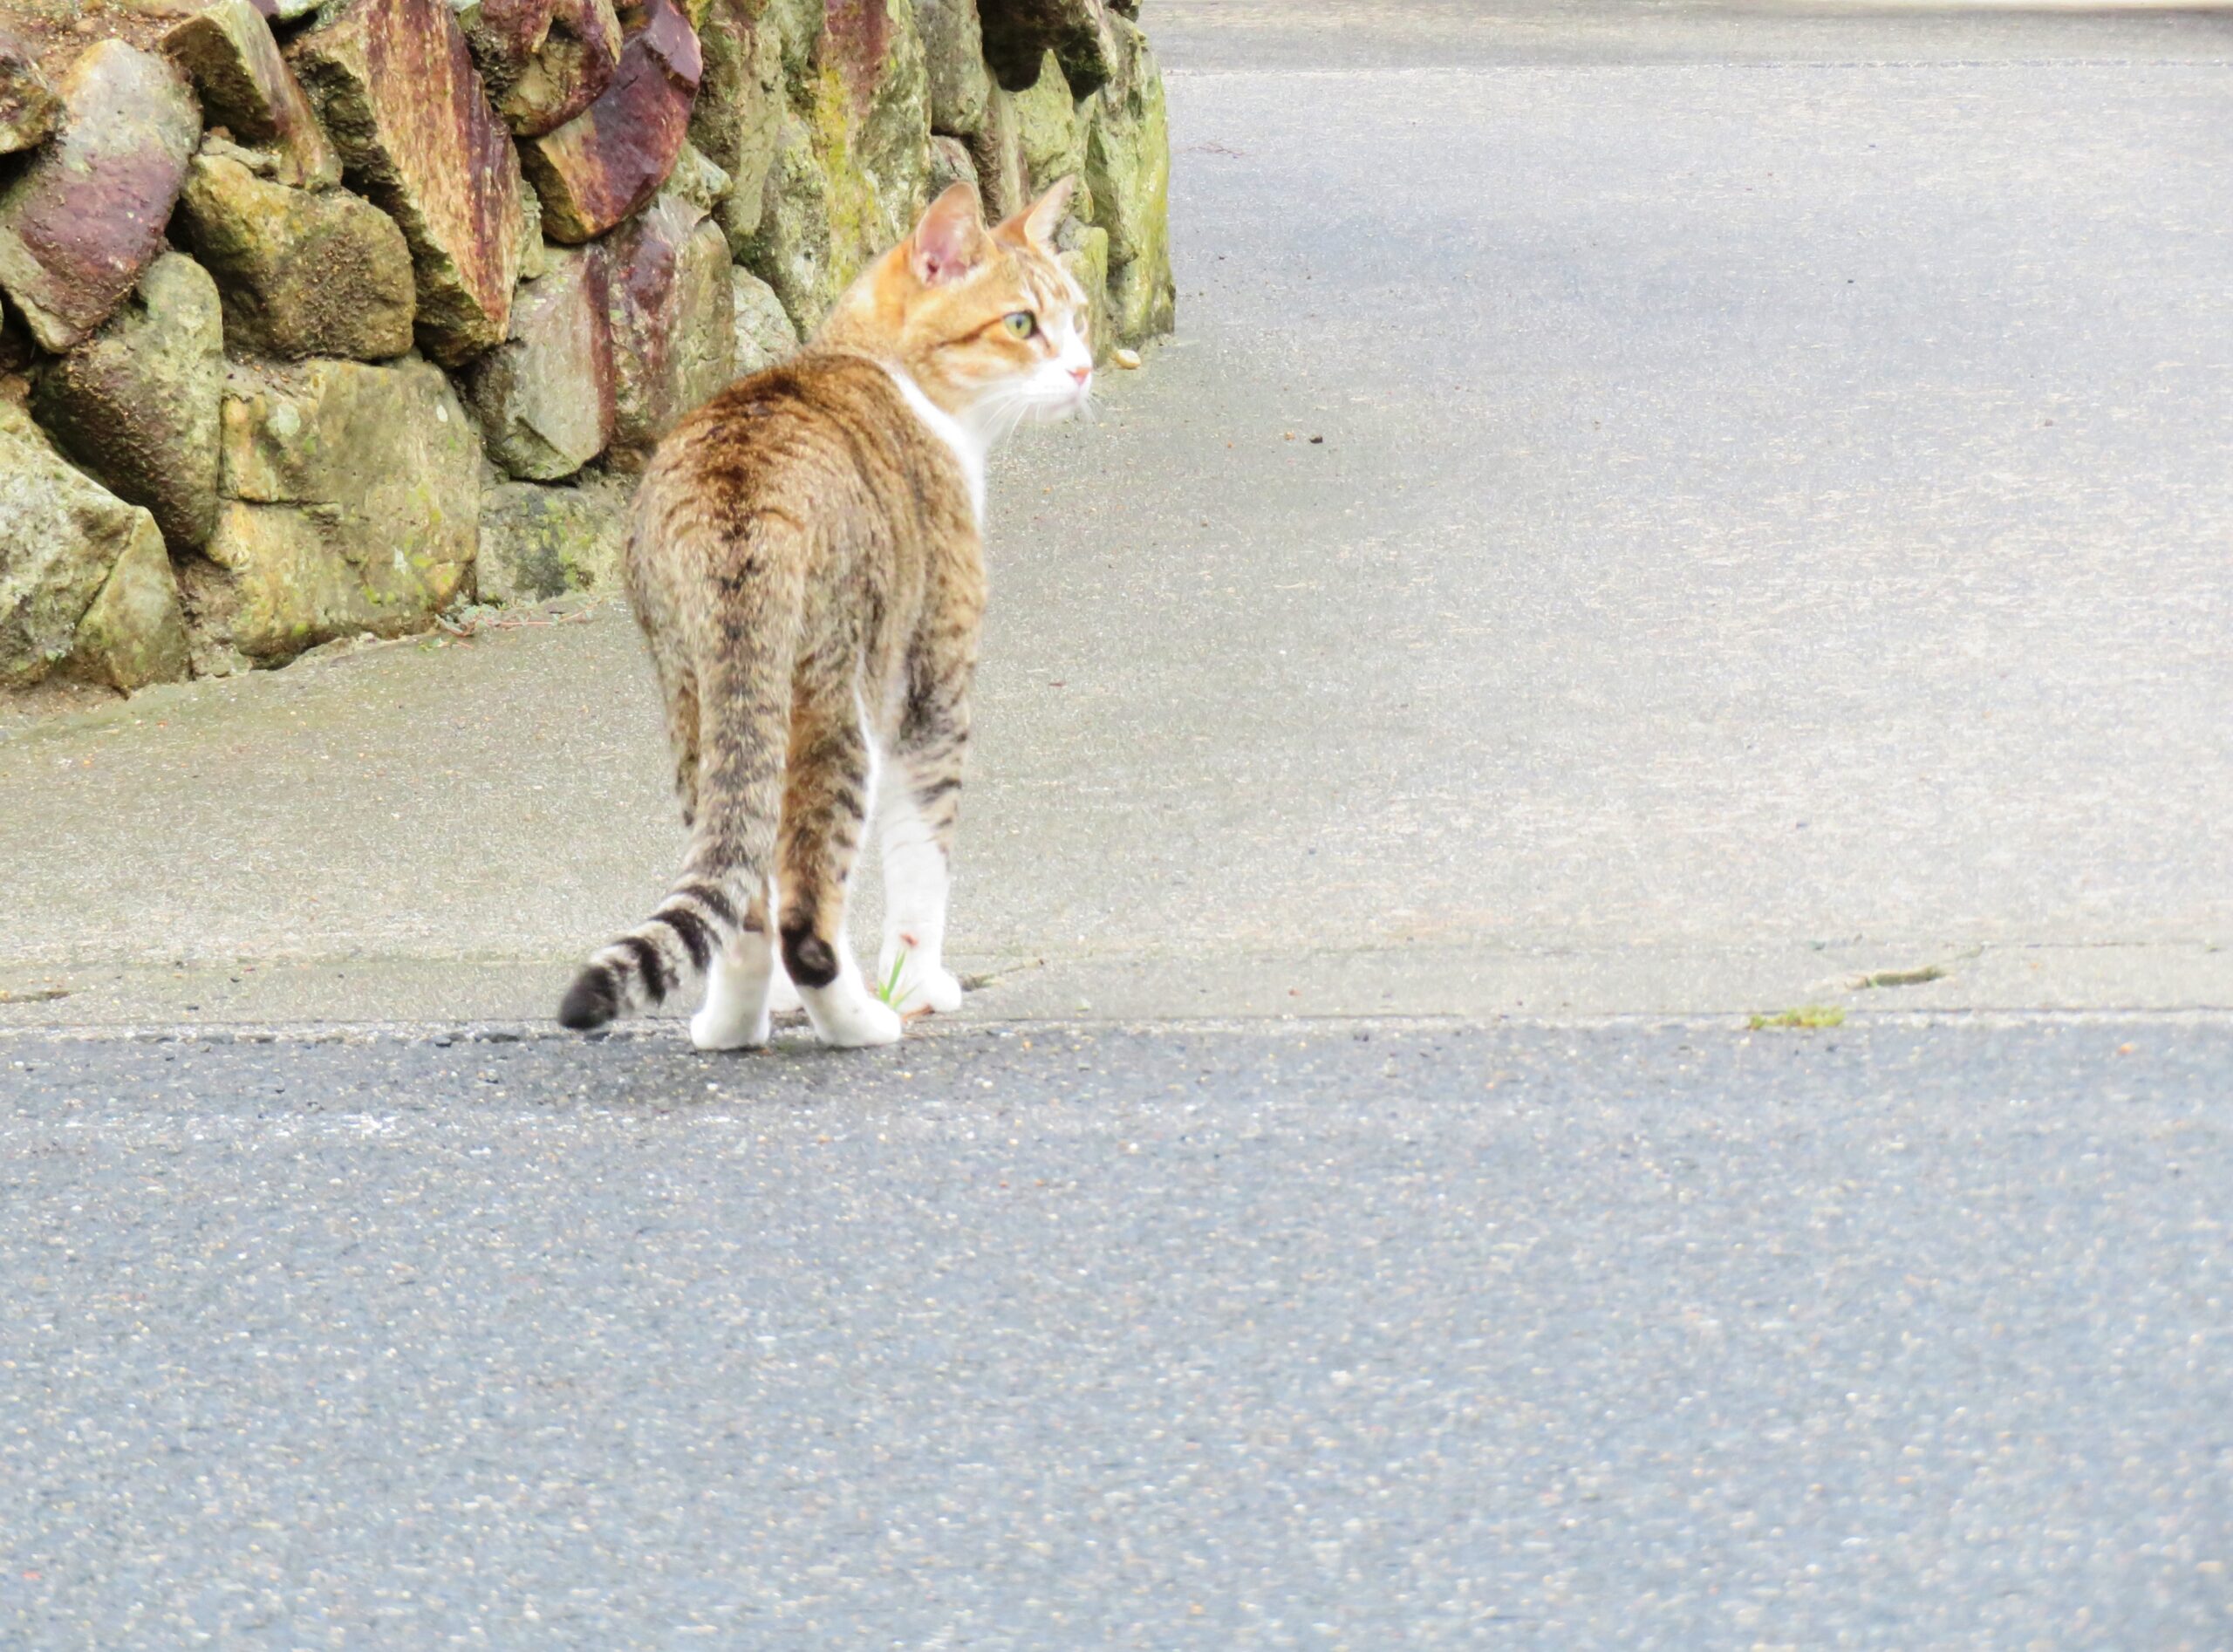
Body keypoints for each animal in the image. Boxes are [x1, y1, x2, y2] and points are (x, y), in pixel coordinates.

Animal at [563, 177, 1094, 1044]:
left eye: (1076, 314)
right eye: (1021, 323)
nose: (1084, 368)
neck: (873, 362)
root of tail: (739, 499)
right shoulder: (934, 679)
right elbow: (923, 861)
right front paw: (921, 985)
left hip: (700, 701)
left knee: (744, 902)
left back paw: (732, 1029)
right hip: (841, 705)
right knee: (805, 915)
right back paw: (860, 1023)